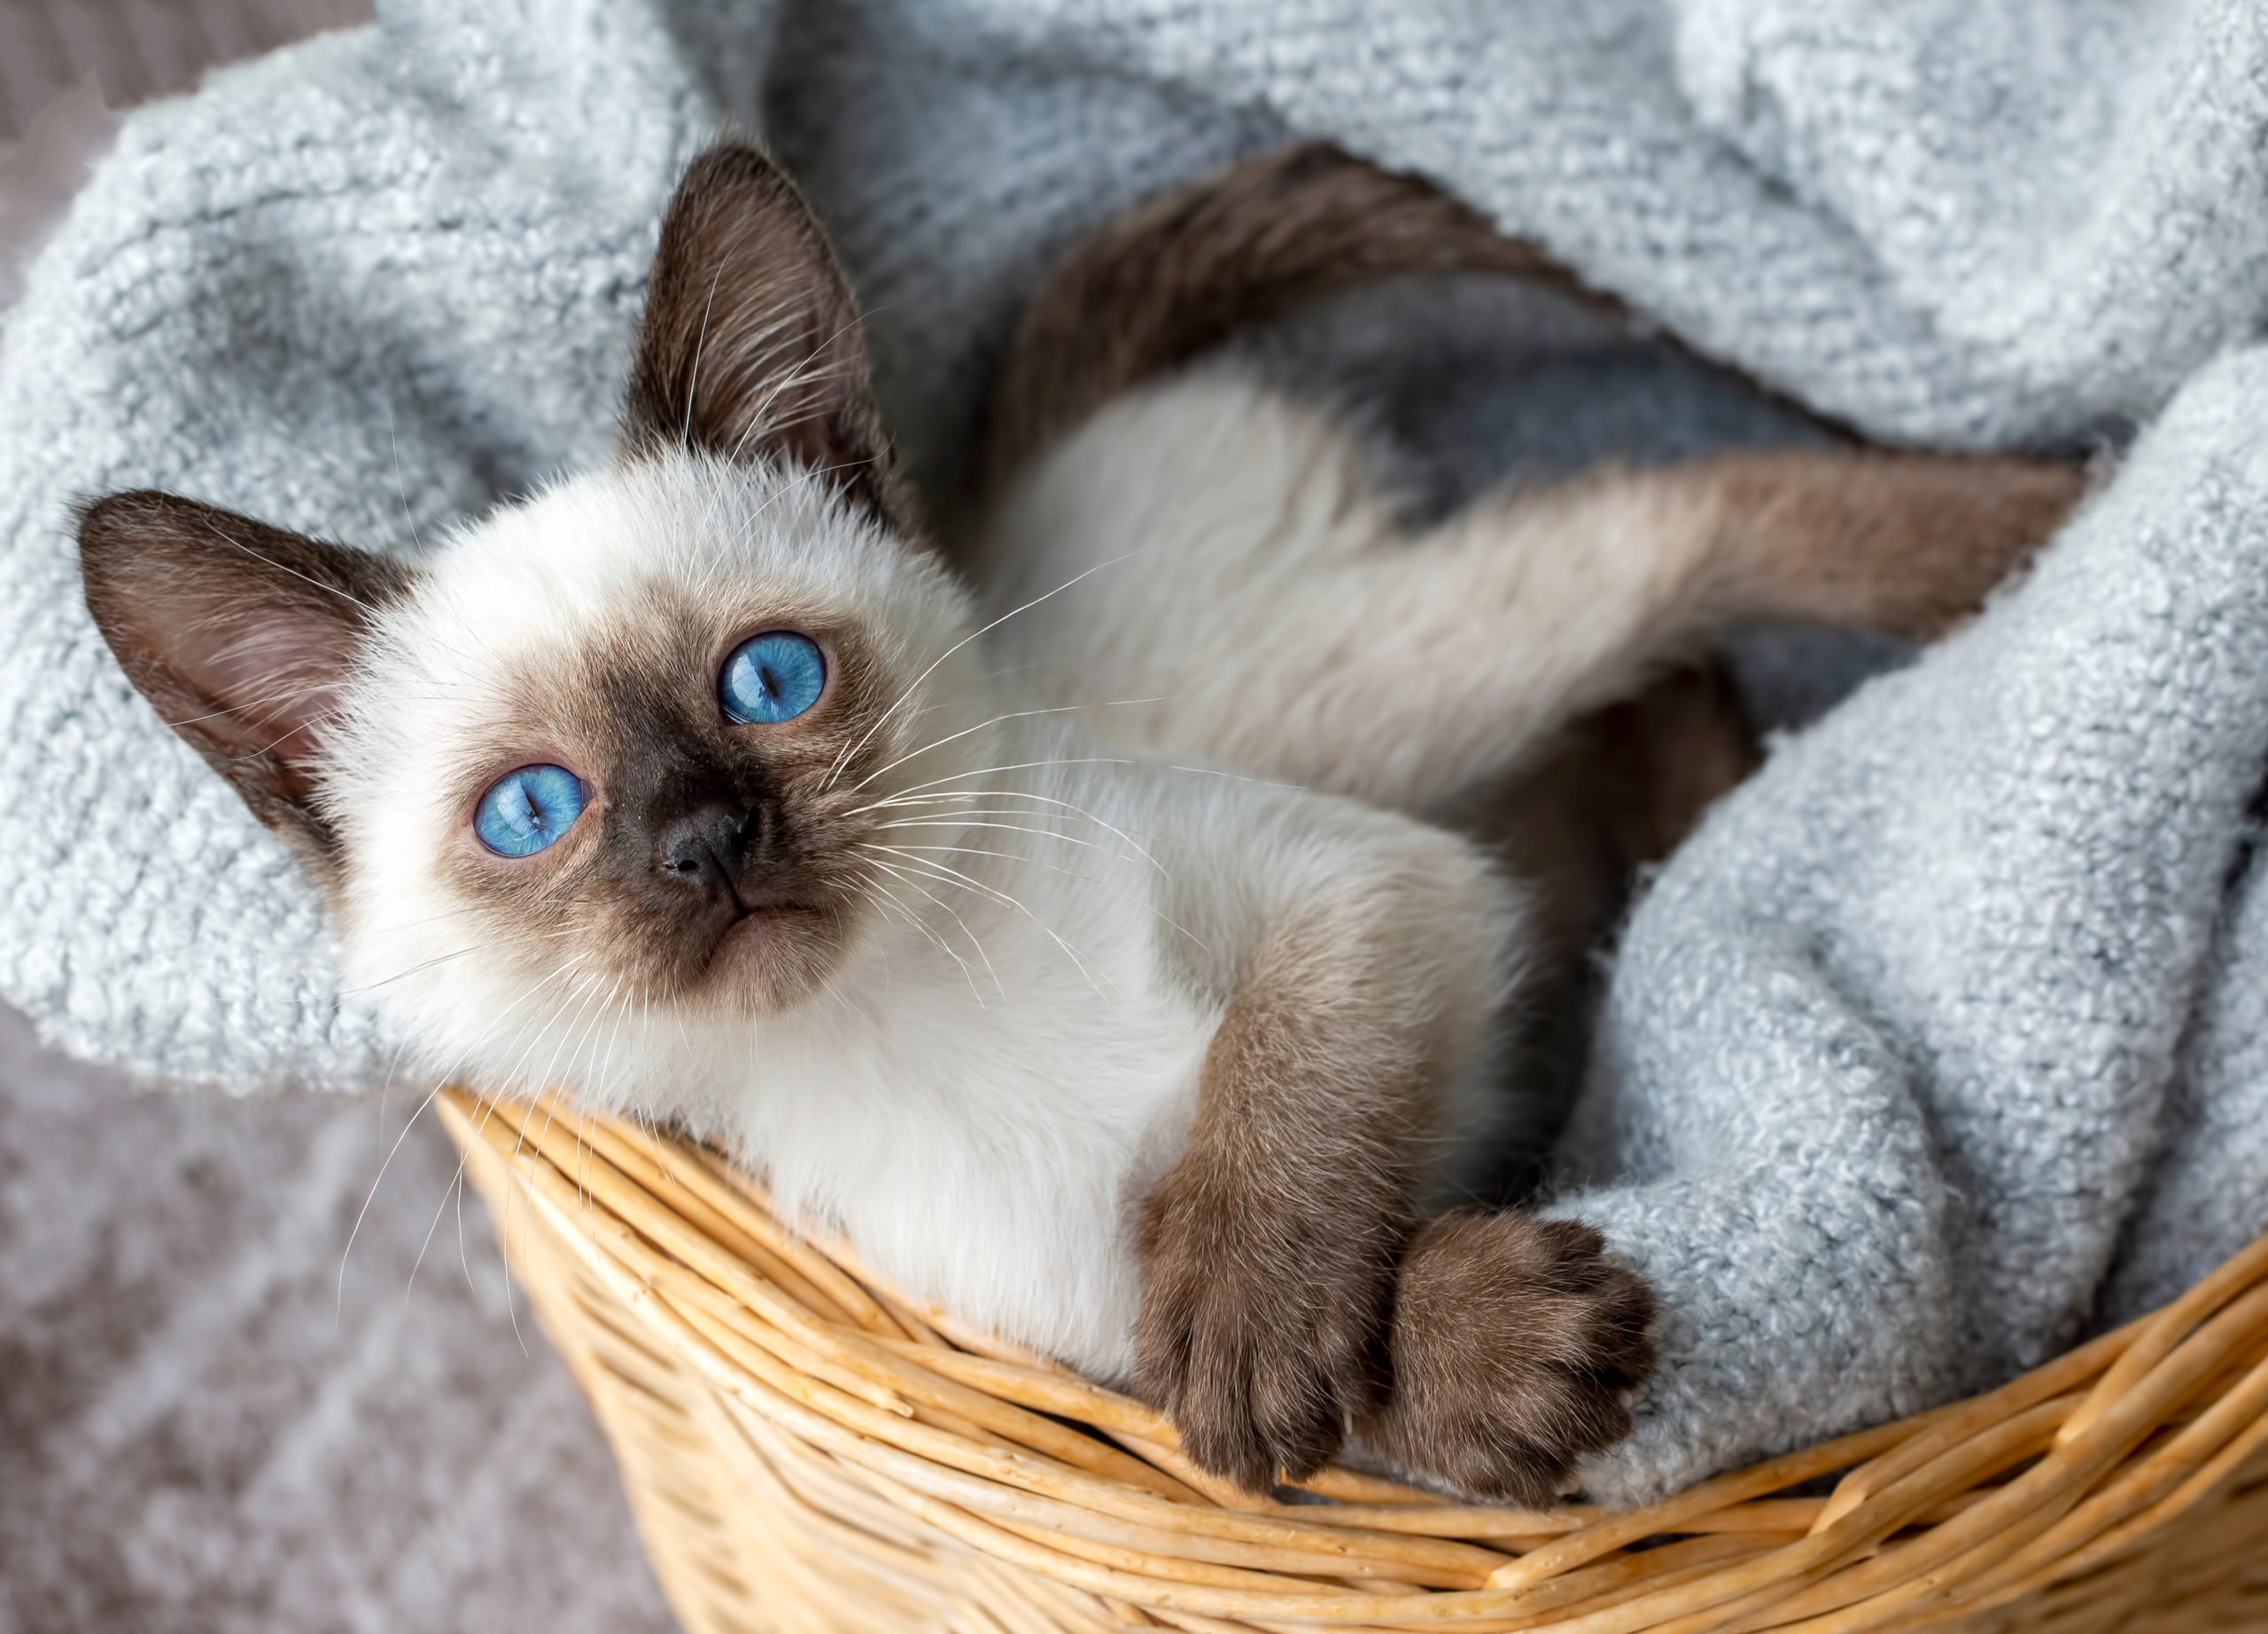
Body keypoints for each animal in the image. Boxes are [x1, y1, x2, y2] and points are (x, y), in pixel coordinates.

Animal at [71, 140, 1651, 1506]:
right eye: (530, 811)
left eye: (770, 680)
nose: (707, 842)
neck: (917, 1011)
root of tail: (1041, 470)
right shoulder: (1055, 1326)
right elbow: (1212, 1359)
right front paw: (1485, 1351)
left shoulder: (1373, 880)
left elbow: (1283, 1113)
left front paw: (1273, 1320)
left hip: (1430, 680)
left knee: (1674, 542)